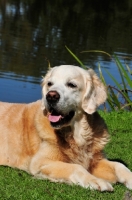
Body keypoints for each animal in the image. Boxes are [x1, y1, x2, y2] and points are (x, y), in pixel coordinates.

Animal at [0, 65, 132, 191]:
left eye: (71, 85)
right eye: (50, 84)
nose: (51, 96)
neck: (76, 136)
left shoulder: (96, 161)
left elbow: (119, 165)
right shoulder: (39, 162)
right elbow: (76, 167)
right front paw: (96, 181)